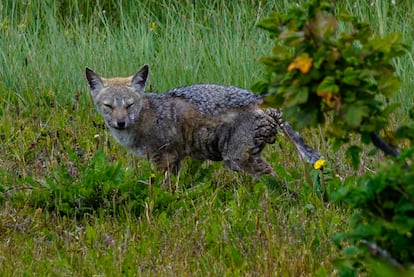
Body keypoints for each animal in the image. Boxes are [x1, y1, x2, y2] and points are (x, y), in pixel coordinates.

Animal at [85, 65, 320, 179]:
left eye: (129, 105)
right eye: (108, 106)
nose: (120, 122)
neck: (145, 115)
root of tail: (261, 98)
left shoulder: (163, 159)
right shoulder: (175, 160)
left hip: (236, 159)